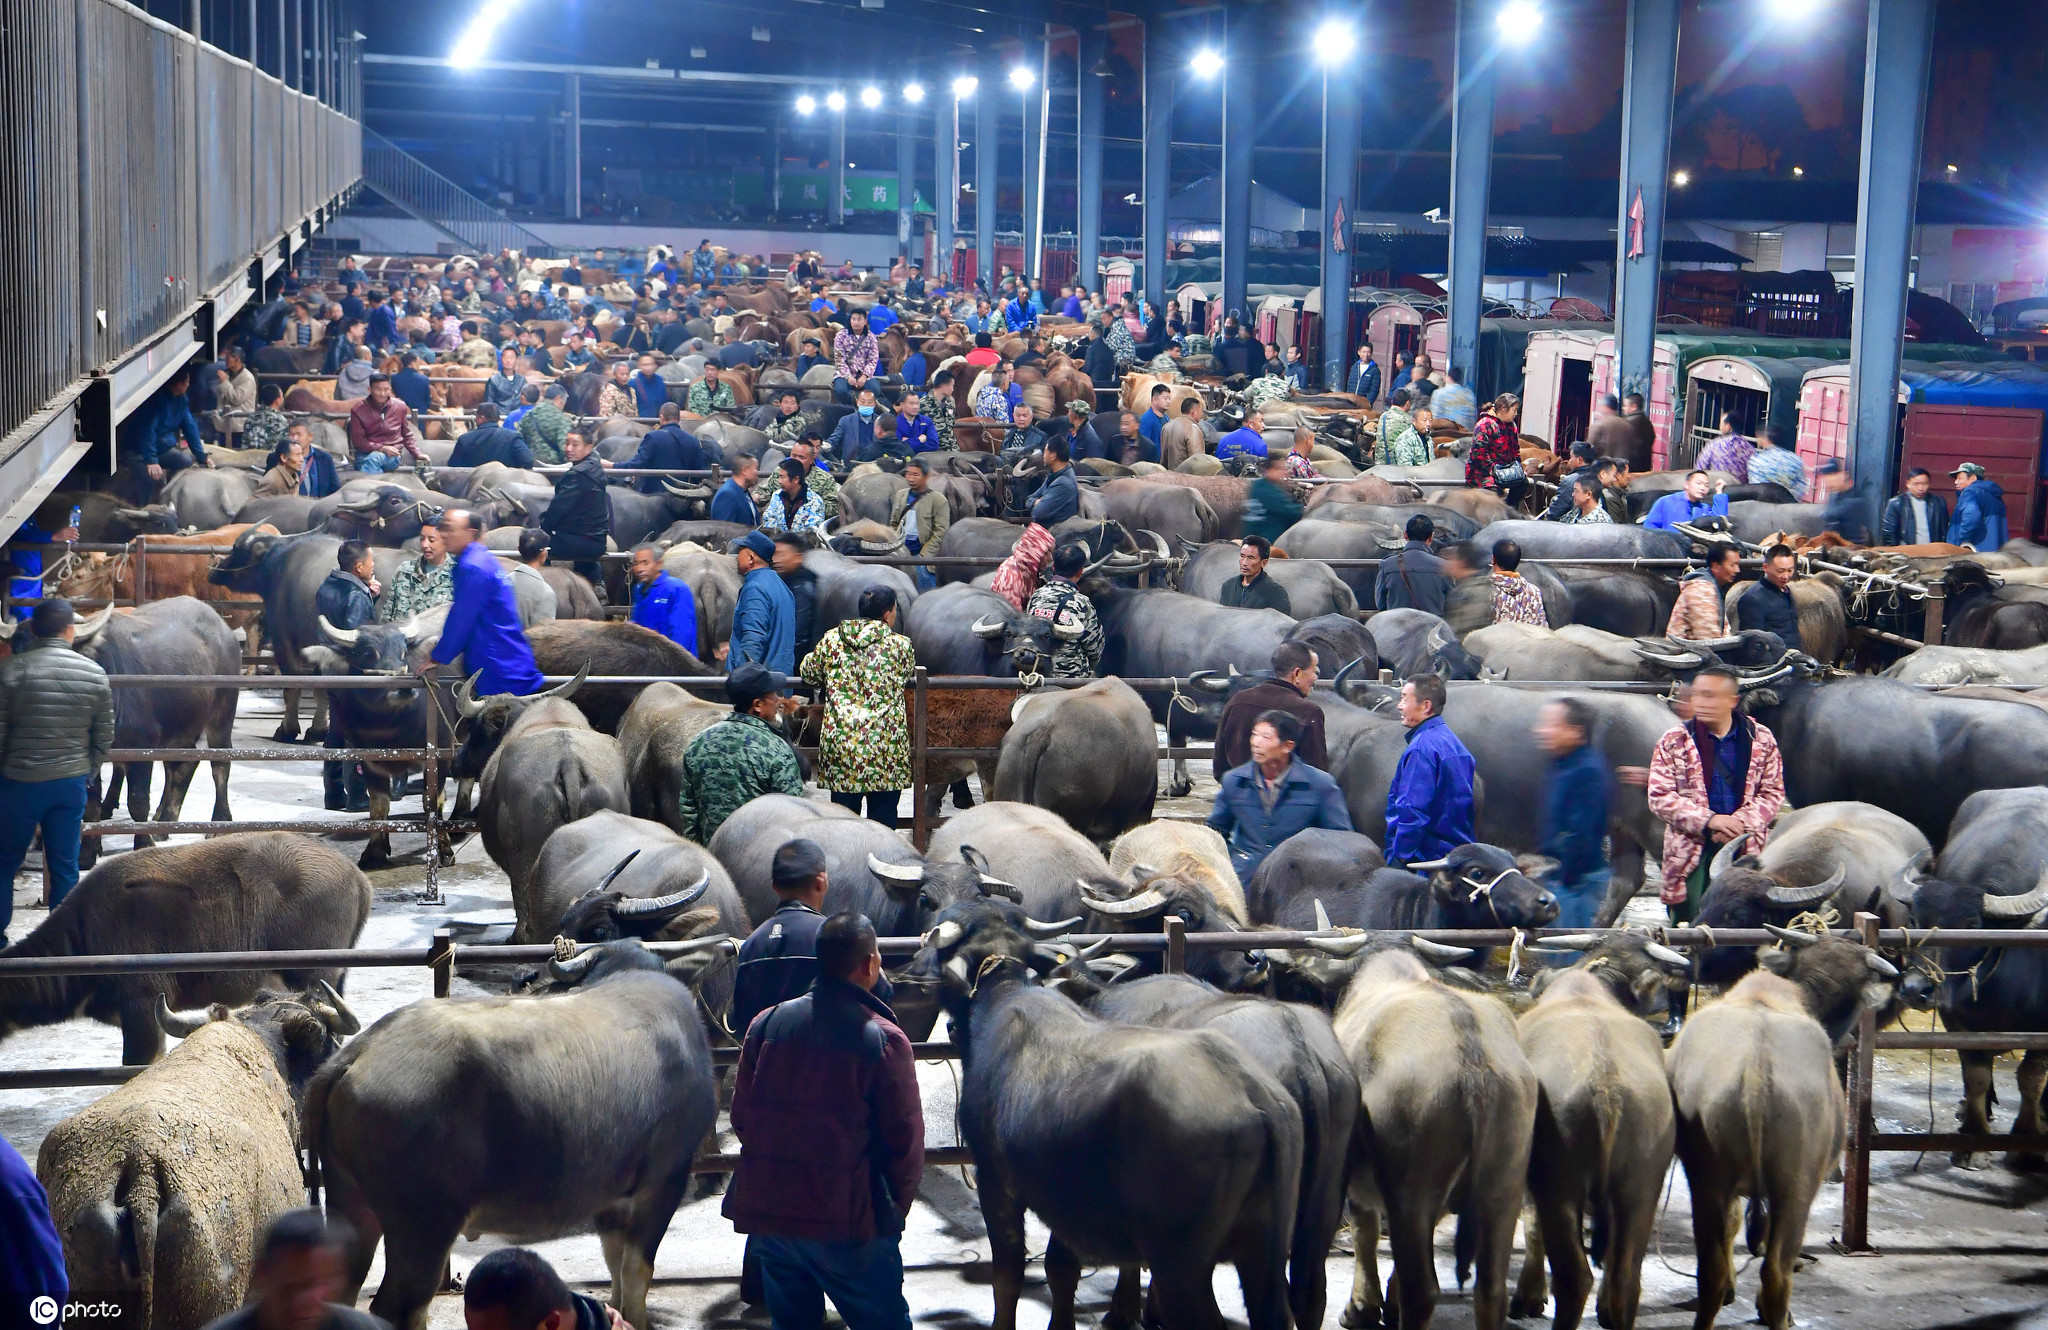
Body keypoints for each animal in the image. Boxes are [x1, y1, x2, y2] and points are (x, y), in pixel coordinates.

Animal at [299, 934, 720, 1327]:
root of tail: (357, 1053)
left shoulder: (613, 1197)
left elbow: (614, 1266)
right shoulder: (664, 1179)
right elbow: (637, 1273)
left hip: (351, 1199)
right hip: (423, 1225)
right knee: (401, 1307)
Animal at [913, 901, 1294, 1330]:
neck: (1001, 999)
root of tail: (1255, 1094)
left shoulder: (995, 1180)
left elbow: (1008, 1274)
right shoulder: (1062, 1195)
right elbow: (1061, 1269)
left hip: (1182, 1263)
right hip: (1264, 1248)